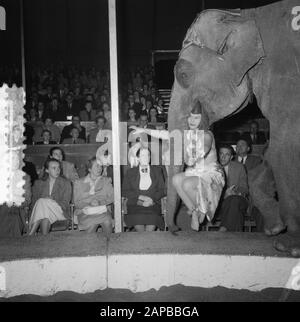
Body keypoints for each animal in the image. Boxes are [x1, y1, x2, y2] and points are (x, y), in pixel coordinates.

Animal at [166, 0, 300, 256]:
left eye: (183, 74)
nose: (175, 229)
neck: (245, 15)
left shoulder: (285, 78)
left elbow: (283, 151)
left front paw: (288, 245)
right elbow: (271, 153)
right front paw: (275, 229)